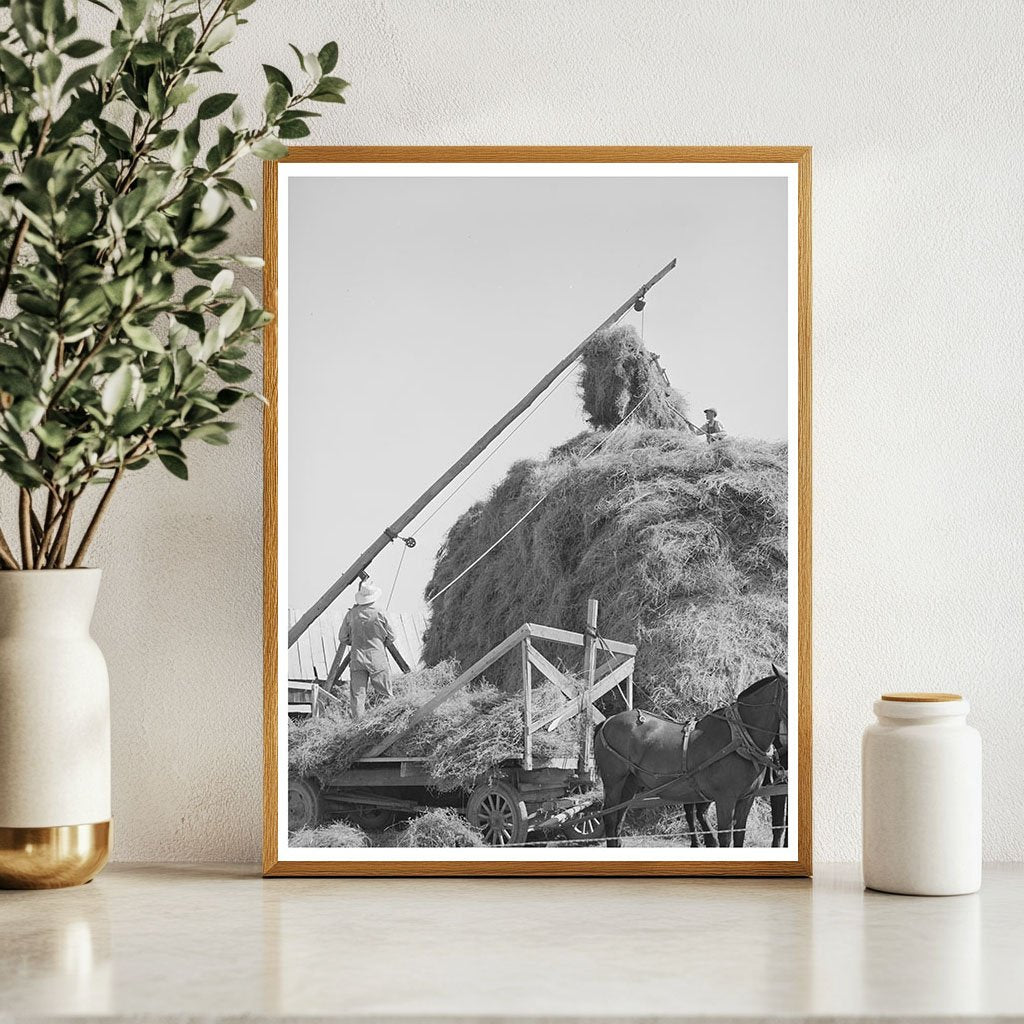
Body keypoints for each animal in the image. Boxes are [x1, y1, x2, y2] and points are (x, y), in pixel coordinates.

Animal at [589, 663, 786, 847]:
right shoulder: (725, 799)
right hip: (614, 781)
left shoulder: (747, 798)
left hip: (630, 782)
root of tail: (607, 721)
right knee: (609, 817)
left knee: (619, 818)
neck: (738, 738)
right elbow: (725, 838)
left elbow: (739, 836)